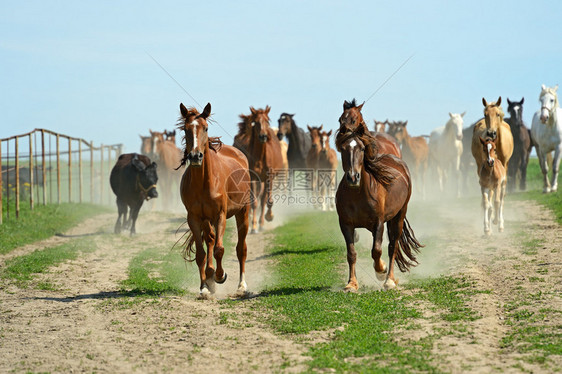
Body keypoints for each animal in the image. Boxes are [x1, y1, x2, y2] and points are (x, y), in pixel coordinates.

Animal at [176, 102, 248, 298]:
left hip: (243, 212)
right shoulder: (194, 218)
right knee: (209, 239)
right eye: (185, 129)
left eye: (206, 128)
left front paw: (220, 275)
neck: (203, 182)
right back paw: (209, 278)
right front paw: (205, 286)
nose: (195, 156)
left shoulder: (220, 215)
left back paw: (241, 286)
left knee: (241, 249)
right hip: (205, 219)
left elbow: (219, 249)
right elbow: (201, 253)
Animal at [332, 101, 420, 290]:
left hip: (399, 215)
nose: (353, 177)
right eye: (343, 149)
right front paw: (351, 284)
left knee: (393, 246)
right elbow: (351, 253)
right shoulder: (345, 224)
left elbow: (377, 250)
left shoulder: (379, 222)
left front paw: (381, 271)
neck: (358, 194)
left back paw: (389, 280)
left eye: (361, 148)